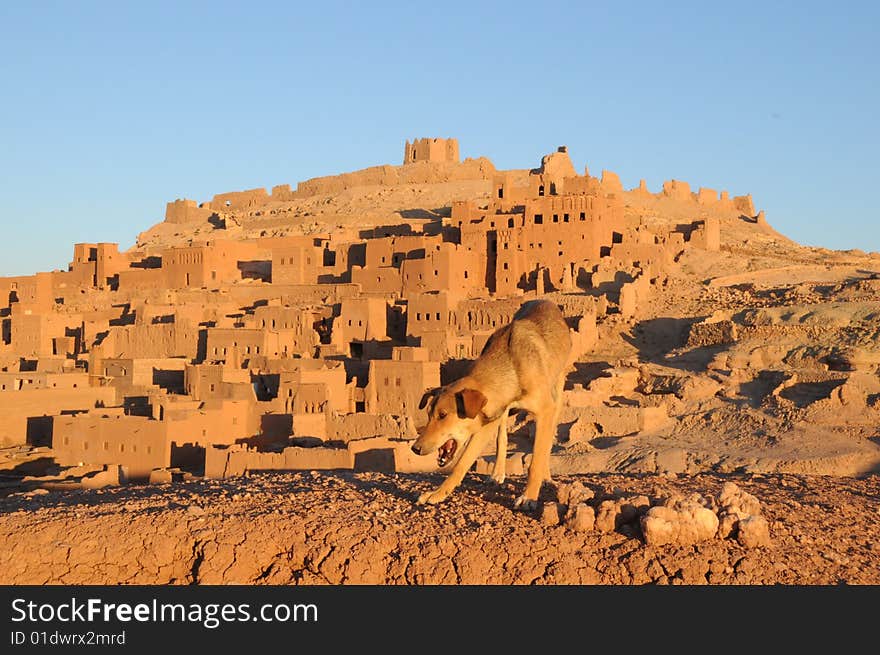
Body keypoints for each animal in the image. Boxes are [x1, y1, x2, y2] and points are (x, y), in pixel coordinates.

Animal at [410, 300, 572, 510]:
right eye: (429, 414)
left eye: (443, 415)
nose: (415, 448)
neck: (511, 367)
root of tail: (546, 301)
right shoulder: (489, 416)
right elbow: (462, 463)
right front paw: (437, 494)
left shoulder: (545, 409)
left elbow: (536, 459)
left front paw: (529, 496)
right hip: (501, 415)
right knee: (502, 438)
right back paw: (497, 473)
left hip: (557, 392)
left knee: (547, 438)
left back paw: (546, 477)